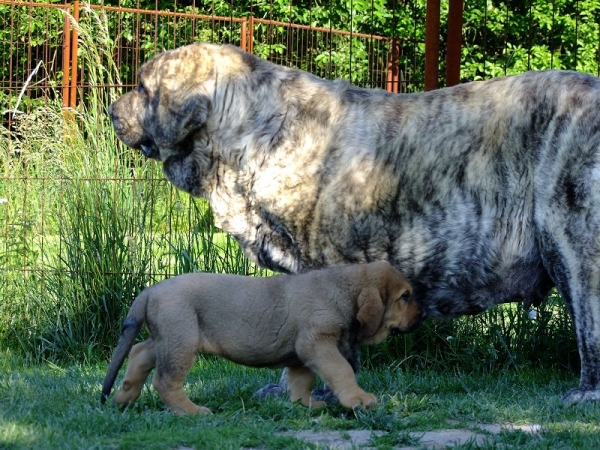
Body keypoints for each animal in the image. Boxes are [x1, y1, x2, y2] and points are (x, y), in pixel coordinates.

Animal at [101, 260, 422, 414]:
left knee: (140, 352)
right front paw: (359, 399)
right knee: (165, 381)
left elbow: (301, 382)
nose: (422, 314)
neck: (344, 289)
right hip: (182, 340)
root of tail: (150, 289)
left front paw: (305, 405)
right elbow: (341, 371)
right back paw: (190, 411)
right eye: (405, 297)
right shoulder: (318, 344)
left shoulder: (301, 354)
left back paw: (124, 397)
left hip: (169, 338)